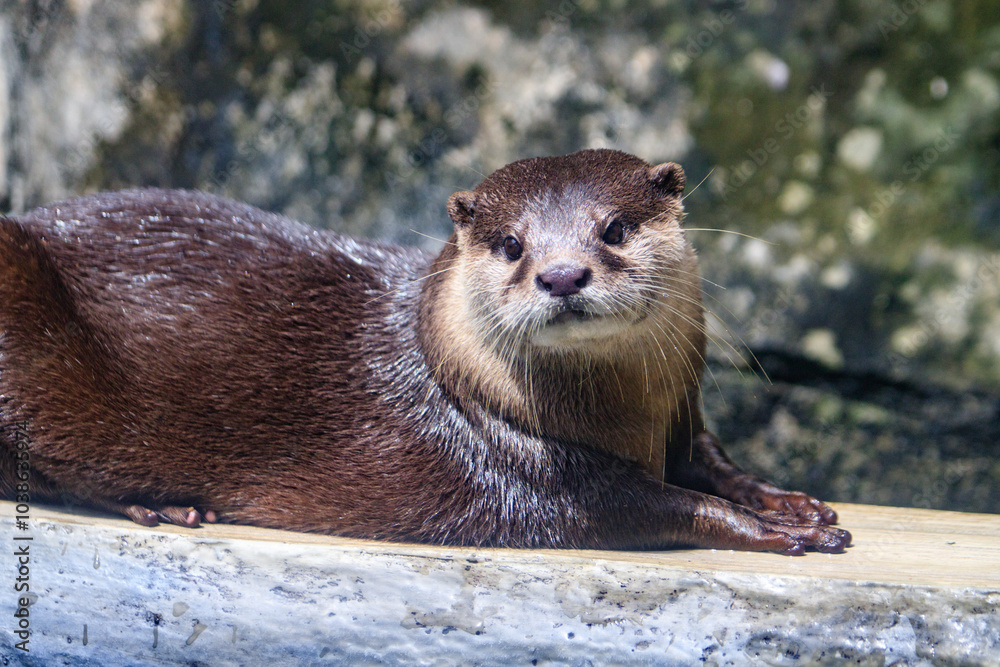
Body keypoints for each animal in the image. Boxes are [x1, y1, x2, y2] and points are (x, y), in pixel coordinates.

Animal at [0, 149, 849, 554]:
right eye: (511, 244)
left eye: (613, 228)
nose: (561, 274)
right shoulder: (529, 476)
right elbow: (650, 503)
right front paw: (780, 531)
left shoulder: (680, 412)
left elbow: (710, 462)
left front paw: (787, 500)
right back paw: (160, 501)